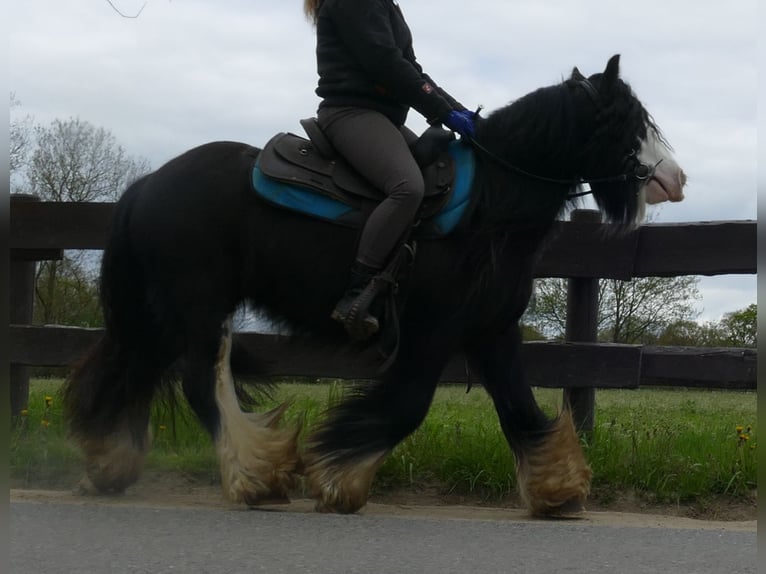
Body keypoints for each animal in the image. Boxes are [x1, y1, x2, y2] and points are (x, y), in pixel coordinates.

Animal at [62, 55, 685, 516]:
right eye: (626, 122)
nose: (675, 179)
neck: (490, 205)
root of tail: (146, 184)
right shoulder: (433, 331)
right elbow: (408, 406)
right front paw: (340, 479)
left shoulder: (492, 330)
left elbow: (520, 407)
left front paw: (558, 491)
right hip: (197, 307)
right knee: (197, 381)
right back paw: (255, 476)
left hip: (164, 312)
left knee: (136, 370)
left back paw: (109, 463)